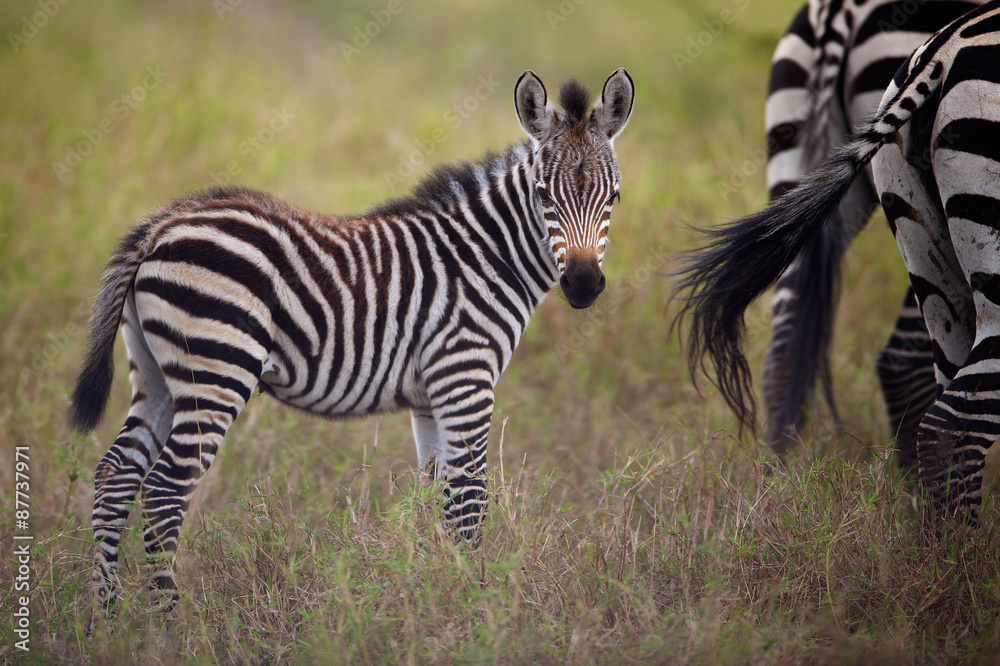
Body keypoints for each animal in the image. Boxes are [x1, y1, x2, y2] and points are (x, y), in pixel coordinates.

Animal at [70, 69, 634, 618]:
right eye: (543, 196)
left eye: (613, 197)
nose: (584, 285)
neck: (486, 256)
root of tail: (162, 223)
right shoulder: (465, 376)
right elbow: (469, 500)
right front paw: (477, 605)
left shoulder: (429, 396)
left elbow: (436, 498)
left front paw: (430, 595)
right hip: (216, 369)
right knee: (165, 490)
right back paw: (168, 622)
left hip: (157, 373)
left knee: (116, 475)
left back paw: (106, 618)